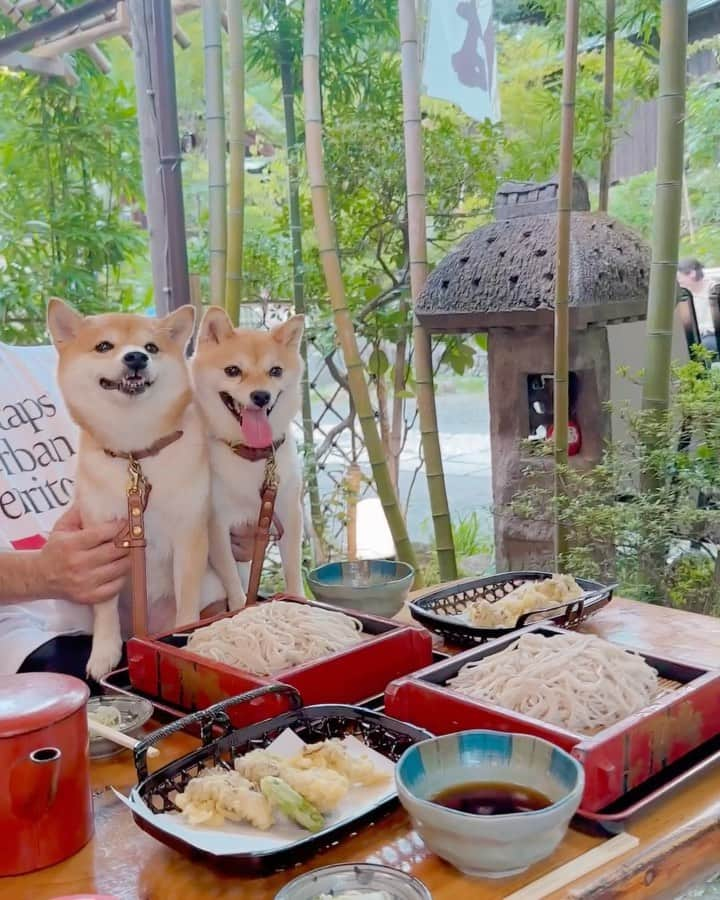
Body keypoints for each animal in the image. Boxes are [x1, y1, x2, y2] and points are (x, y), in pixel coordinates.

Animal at [46, 298, 210, 680]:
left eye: (151, 347)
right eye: (104, 346)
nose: (136, 357)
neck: (136, 452)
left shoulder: (189, 534)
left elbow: (187, 596)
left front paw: (184, 637)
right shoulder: (102, 540)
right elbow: (104, 609)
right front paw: (104, 652)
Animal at [191, 306, 304, 608]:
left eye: (275, 371)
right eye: (233, 371)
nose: (261, 396)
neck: (251, 455)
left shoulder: (289, 512)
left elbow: (293, 569)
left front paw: (297, 599)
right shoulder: (217, 525)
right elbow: (232, 580)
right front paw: (241, 607)